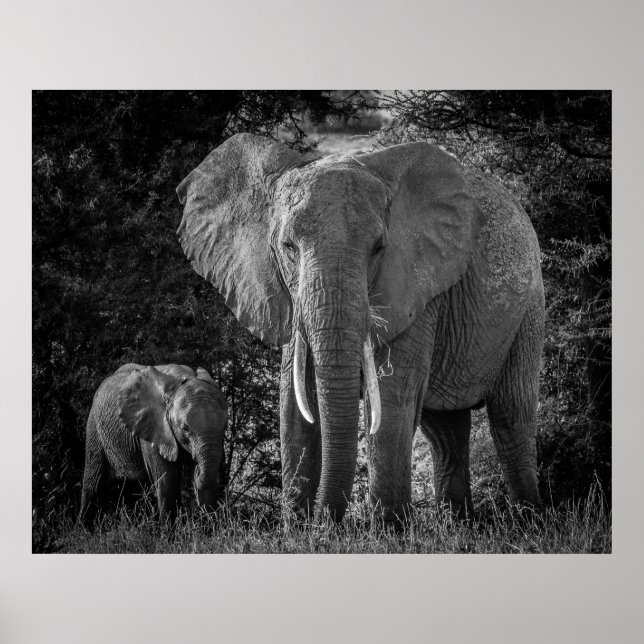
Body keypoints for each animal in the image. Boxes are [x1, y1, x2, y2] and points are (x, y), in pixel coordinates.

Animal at [79, 363, 228, 524]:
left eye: (225, 426)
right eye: (185, 428)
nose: (197, 470)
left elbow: (210, 486)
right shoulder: (153, 429)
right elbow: (167, 483)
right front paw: (169, 530)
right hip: (94, 429)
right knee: (93, 484)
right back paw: (83, 527)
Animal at [176, 133, 544, 524]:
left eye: (379, 248)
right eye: (287, 247)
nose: (327, 522)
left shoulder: (415, 284)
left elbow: (393, 395)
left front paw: (388, 530)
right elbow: (294, 400)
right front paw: (297, 528)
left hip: (529, 309)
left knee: (511, 415)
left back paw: (529, 521)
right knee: (445, 431)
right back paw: (459, 525)